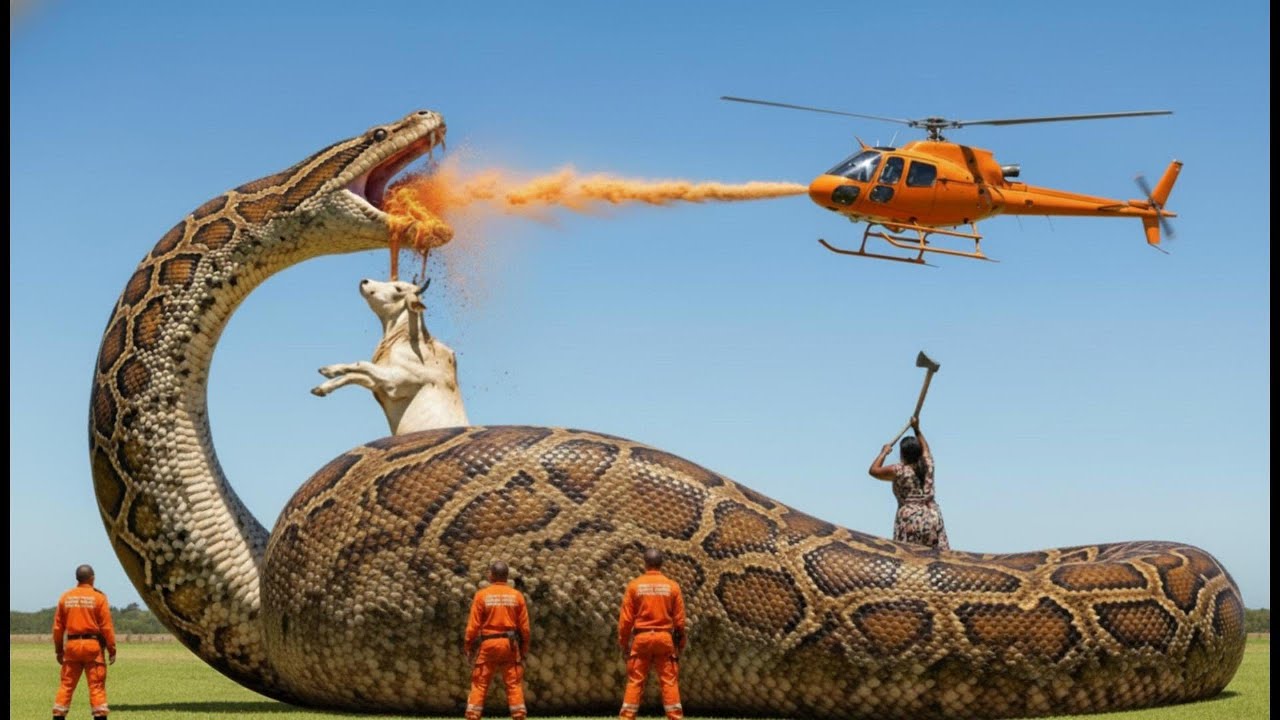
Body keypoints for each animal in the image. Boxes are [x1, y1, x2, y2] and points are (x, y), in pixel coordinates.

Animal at [312, 278, 469, 434]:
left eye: (398, 289)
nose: (364, 281)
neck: (410, 340)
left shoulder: (395, 381)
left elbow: (361, 364)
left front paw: (328, 372)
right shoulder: (378, 383)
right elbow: (355, 375)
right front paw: (322, 385)